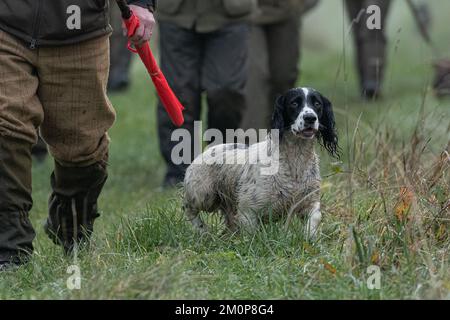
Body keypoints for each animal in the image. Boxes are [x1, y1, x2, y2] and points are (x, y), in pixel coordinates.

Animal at [182, 87, 338, 238]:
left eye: (317, 104)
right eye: (294, 103)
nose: (310, 118)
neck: (295, 163)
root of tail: (208, 150)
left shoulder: (309, 201)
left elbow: (314, 220)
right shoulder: (248, 210)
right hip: (204, 195)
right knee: (188, 207)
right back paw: (202, 230)